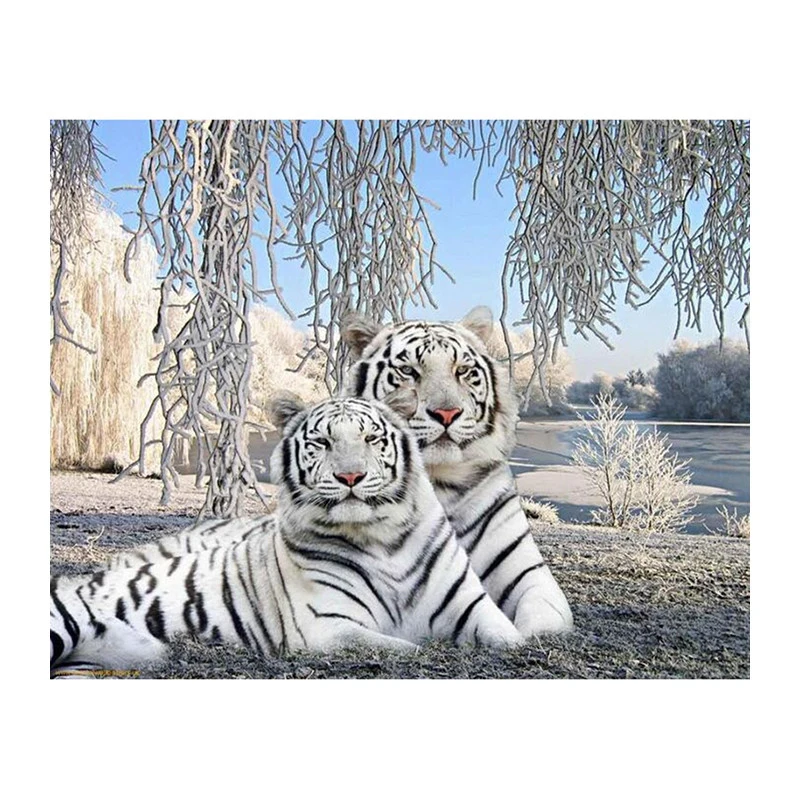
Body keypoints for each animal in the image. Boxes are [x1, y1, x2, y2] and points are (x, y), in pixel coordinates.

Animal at [50, 393, 523, 677]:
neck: (382, 539)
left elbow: (511, 638)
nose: (350, 476)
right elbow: (409, 646)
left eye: (371, 438)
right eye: (322, 442)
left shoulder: (471, 607)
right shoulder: (327, 627)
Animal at [341, 305, 574, 637]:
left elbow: (542, 616)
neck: (440, 480)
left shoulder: (525, 569)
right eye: (408, 371)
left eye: (462, 371)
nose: (447, 413)